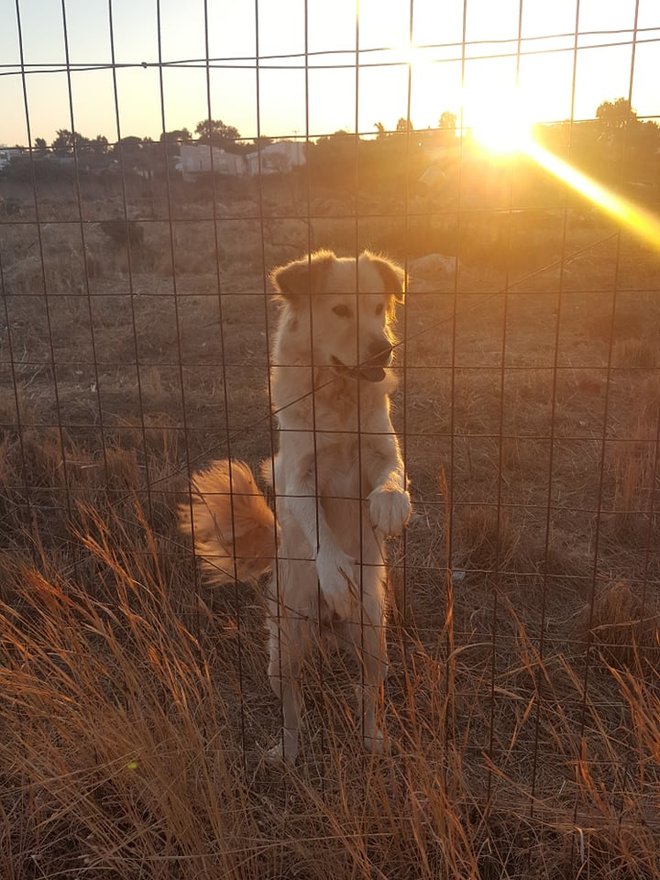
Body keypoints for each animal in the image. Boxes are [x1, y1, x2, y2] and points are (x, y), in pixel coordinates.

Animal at [178, 249, 410, 764]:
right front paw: (337, 575)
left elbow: (393, 473)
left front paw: (389, 506)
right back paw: (285, 753)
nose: (383, 349)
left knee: (370, 695)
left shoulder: (383, 448)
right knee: (293, 709)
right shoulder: (295, 477)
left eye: (378, 308)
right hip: (281, 653)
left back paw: (372, 741)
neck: (338, 400)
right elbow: (318, 528)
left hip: (373, 641)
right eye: (341, 310)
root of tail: (326, 626)